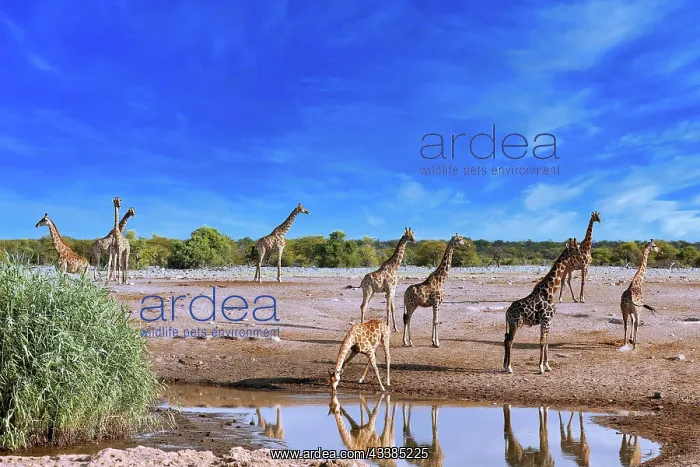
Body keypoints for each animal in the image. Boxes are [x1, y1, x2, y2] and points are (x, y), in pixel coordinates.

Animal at [503, 238, 580, 374]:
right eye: (573, 248)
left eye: (578, 246)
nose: (581, 255)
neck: (550, 291)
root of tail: (507, 312)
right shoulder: (545, 319)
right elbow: (542, 341)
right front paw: (540, 367)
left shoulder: (548, 321)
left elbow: (547, 342)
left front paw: (547, 366)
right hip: (516, 323)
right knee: (510, 340)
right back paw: (509, 367)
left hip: (513, 324)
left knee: (506, 338)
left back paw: (505, 366)